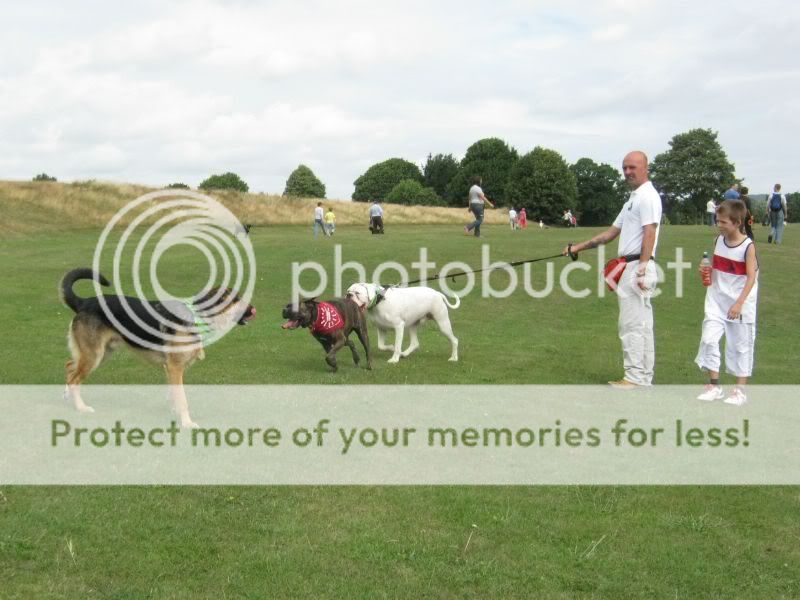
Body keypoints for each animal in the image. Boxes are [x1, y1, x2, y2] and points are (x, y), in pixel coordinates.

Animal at [61, 268, 255, 426]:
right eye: (236, 300)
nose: (254, 310)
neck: (196, 317)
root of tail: (83, 302)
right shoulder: (175, 367)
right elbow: (182, 399)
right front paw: (187, 423)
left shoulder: (170, 369)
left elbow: (174, 396)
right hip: (94, 356)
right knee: (74, 379)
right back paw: (81, 407)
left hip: (101, 354)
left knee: (70, 367)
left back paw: (68, 397)